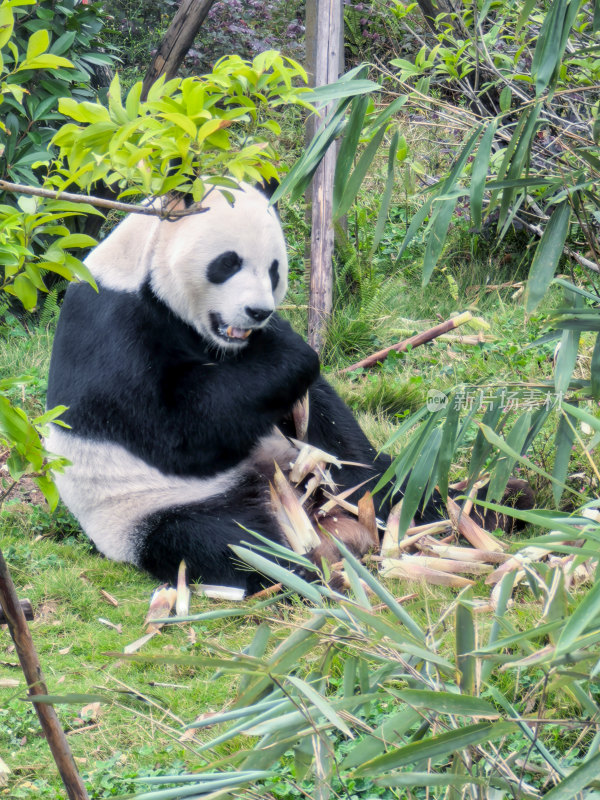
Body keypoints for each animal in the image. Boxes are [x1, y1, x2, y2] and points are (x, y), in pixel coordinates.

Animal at [45, 183, 394, 592]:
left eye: (274, 269)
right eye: (228, 263)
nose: (258, 312)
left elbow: (324, 420)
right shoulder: (113, 330)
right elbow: (177, 434)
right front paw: (292, 350)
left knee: (393, 478)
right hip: (150, 510)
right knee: (220, 541)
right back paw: (304, 570)